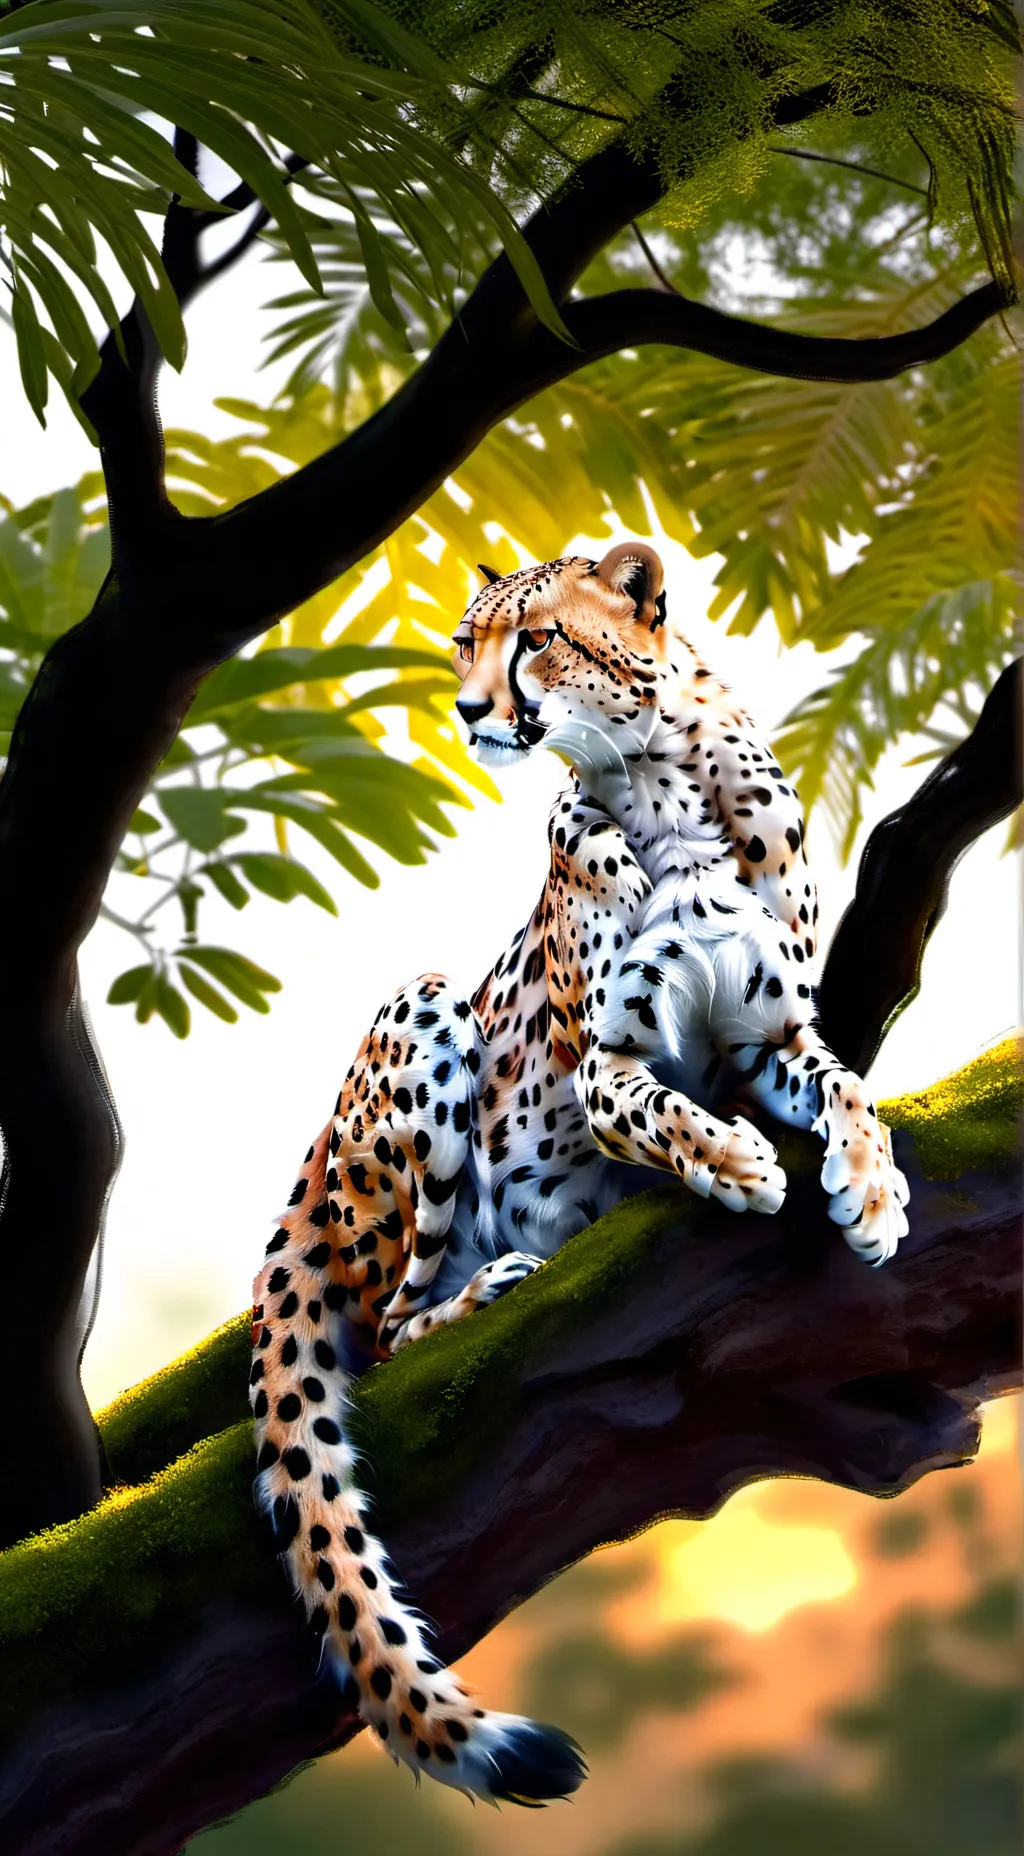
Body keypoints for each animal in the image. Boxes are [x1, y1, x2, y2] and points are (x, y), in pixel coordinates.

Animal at [250, 542, 909, 1807]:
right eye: (465, 643)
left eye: (537, 639)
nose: (469, 710)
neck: (661, 778)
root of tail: (302, 1182)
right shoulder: (602, 1065)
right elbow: (661, 1109)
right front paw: (740, 1164)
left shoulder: (771, 1034)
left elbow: (844, 1086)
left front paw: (870, 1191)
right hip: (424, 1009)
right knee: (390, 1322)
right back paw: (488, 1285)